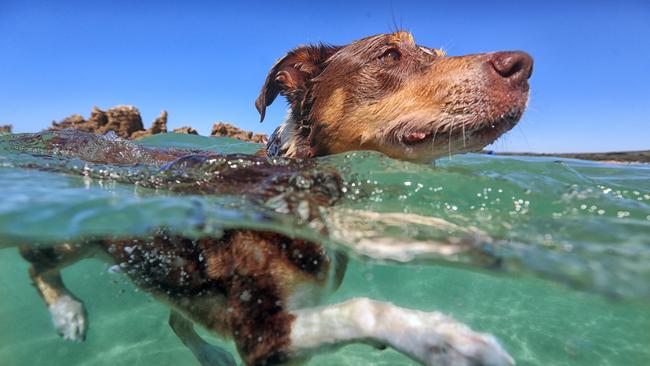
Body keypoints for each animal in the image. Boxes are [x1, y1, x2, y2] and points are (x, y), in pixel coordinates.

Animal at [16, 32, 532, 366]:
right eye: (390, 54)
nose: (524, 65)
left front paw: (481, 245)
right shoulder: (262, 336)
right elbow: (364, 309)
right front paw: (444, 338)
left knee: (178, 319)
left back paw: (210, 354)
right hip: (76, 237)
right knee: (37, 263)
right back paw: (67, 313)